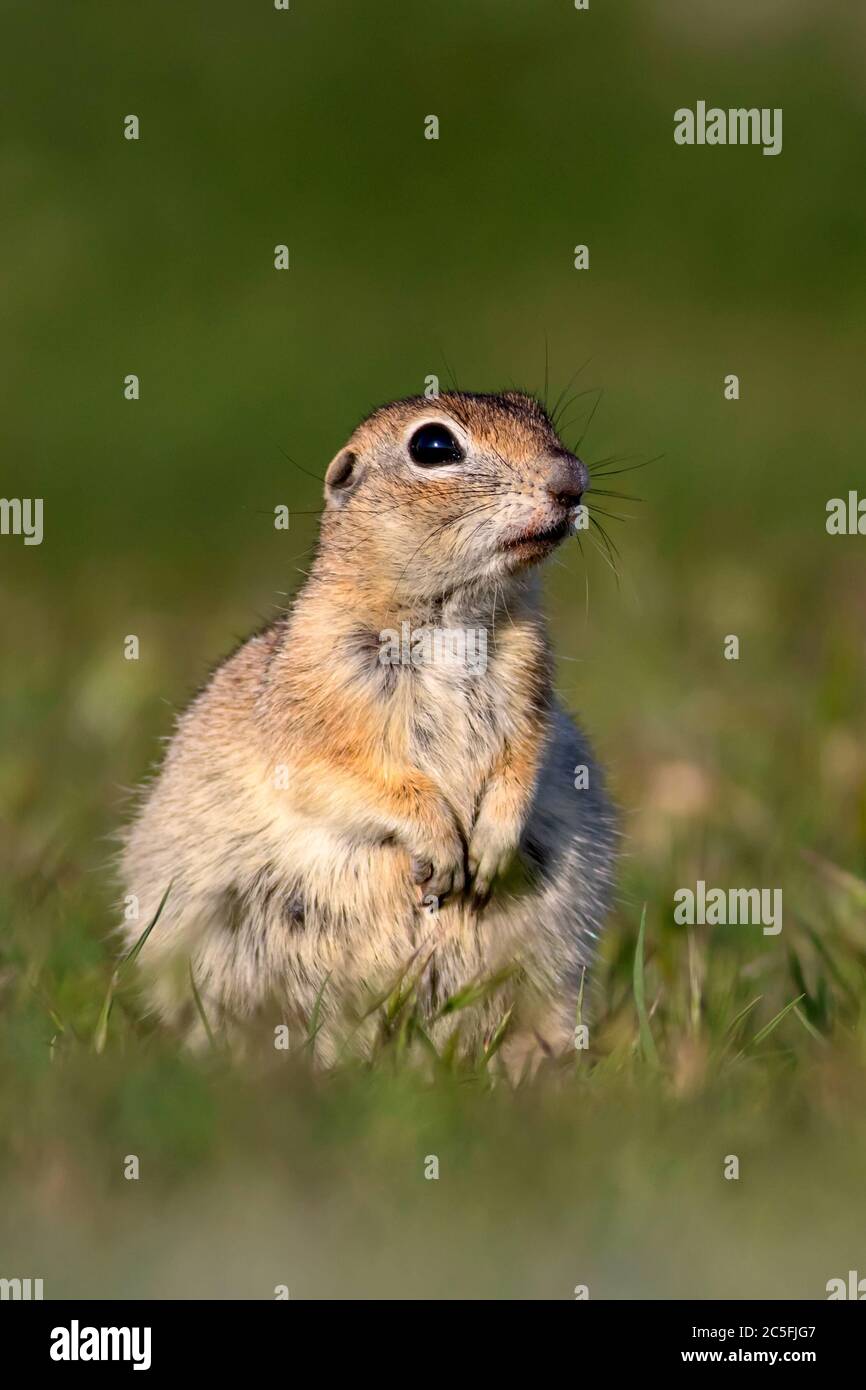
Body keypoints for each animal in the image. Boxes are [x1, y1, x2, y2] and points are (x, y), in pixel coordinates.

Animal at [122, 397, 617, 1067]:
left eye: (540, 413)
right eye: (433, 446)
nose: (572, 480)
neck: (452, 618)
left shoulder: (532, 688)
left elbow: (523, 760)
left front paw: (491, 847)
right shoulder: (316, 707)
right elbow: (348, 780)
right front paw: (442, 845)